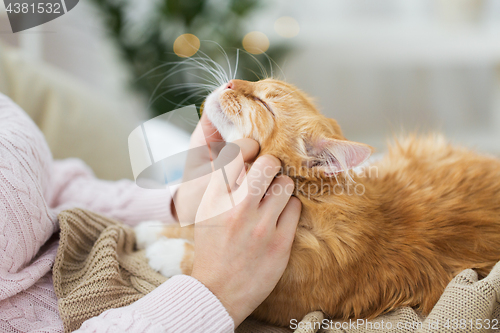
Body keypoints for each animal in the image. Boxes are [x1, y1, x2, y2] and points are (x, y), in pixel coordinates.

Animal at [135, 79, 500, 326]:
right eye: (256, 82)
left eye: (263, 102)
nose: (230, 82)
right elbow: (191, 226)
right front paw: (154, 229)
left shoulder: (281, 303)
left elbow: (195, 261)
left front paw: (166, 251)